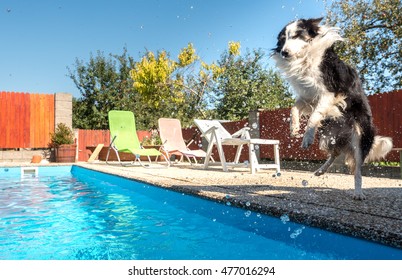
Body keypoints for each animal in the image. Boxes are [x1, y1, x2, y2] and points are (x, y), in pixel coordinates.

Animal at [272, 17, 392, 200]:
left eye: (297, 35)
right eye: (283, 39)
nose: (284, 52)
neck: (306, 58)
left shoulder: (329, 93)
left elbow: (314, 115)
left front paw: (306, 137)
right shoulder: (308, 95)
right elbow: (294, 108)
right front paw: (294, 127)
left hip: (359, 139)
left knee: (357, 171)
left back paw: (358, 193)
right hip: (327, 136)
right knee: (334, 153)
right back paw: (321, 170)